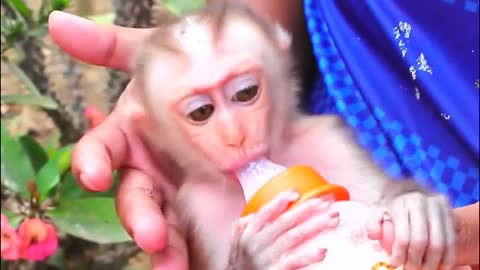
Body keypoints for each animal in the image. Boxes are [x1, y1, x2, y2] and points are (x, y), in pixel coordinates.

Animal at [133, 2, 456, 270]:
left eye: (245, 92)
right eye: (201, 112)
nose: (236, 137)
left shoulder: (332, 138)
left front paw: (413, 206)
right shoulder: (196, 207)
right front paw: (256, 254)